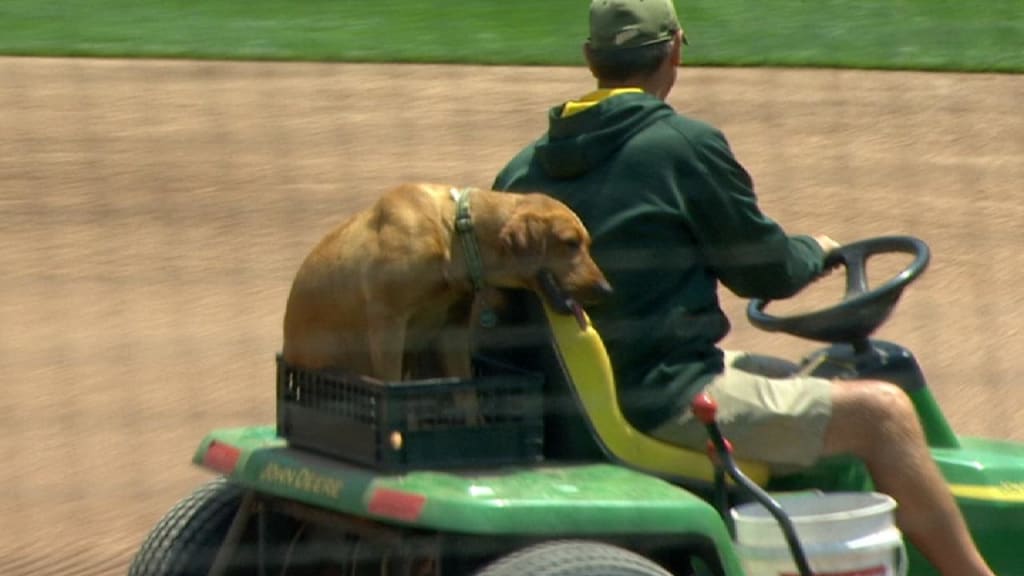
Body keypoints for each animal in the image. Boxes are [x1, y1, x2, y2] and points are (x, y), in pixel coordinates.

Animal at [282, 182, 606, 381]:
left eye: (587, 244)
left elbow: (468, 402)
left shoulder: (452, 333)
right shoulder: (387, 328)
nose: (606, 289)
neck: (455, 235)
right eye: (571, 243)